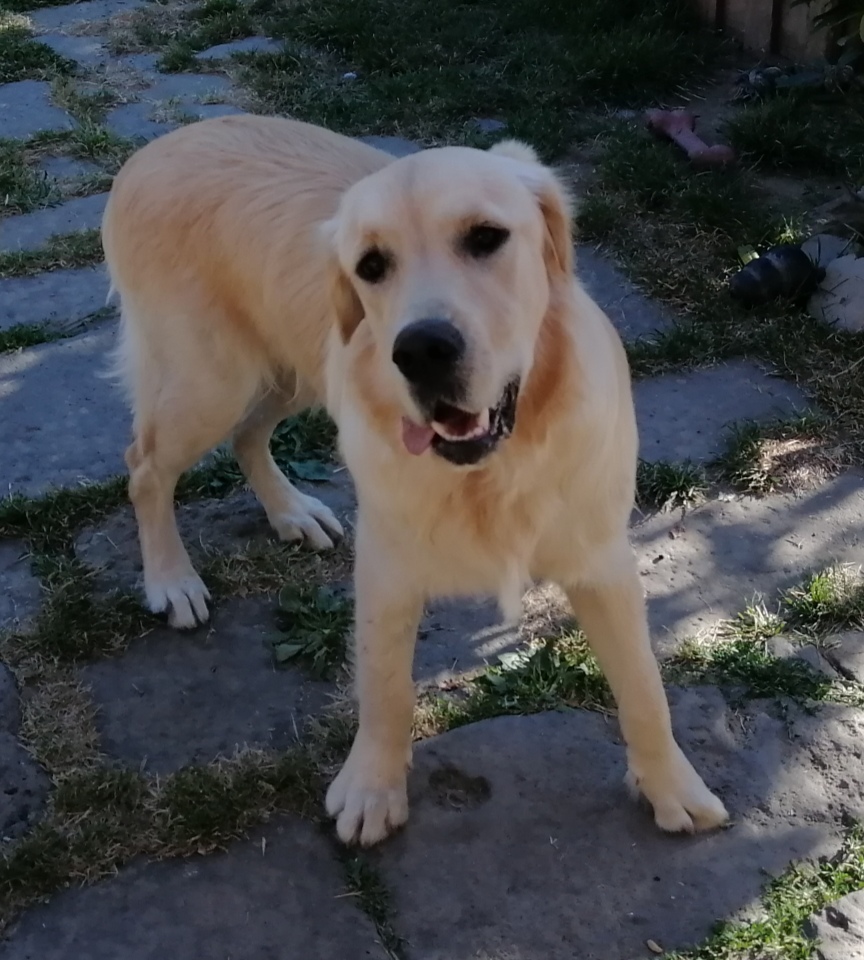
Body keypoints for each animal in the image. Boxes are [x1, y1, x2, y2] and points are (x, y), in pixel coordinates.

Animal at [102, 114, 728, 846]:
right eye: (371, 265)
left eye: (486, 237)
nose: (422, 351)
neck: (495, 466)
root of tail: (155, 148)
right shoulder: (388, 567)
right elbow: (384, 688)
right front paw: (372, 789)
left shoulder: (601, 559)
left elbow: (644, 688)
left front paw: (673, 788)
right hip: (210, 384)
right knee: (144, 465)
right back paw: (172, 580)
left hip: (284, 375)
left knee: (246, 436)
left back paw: (291, 512)